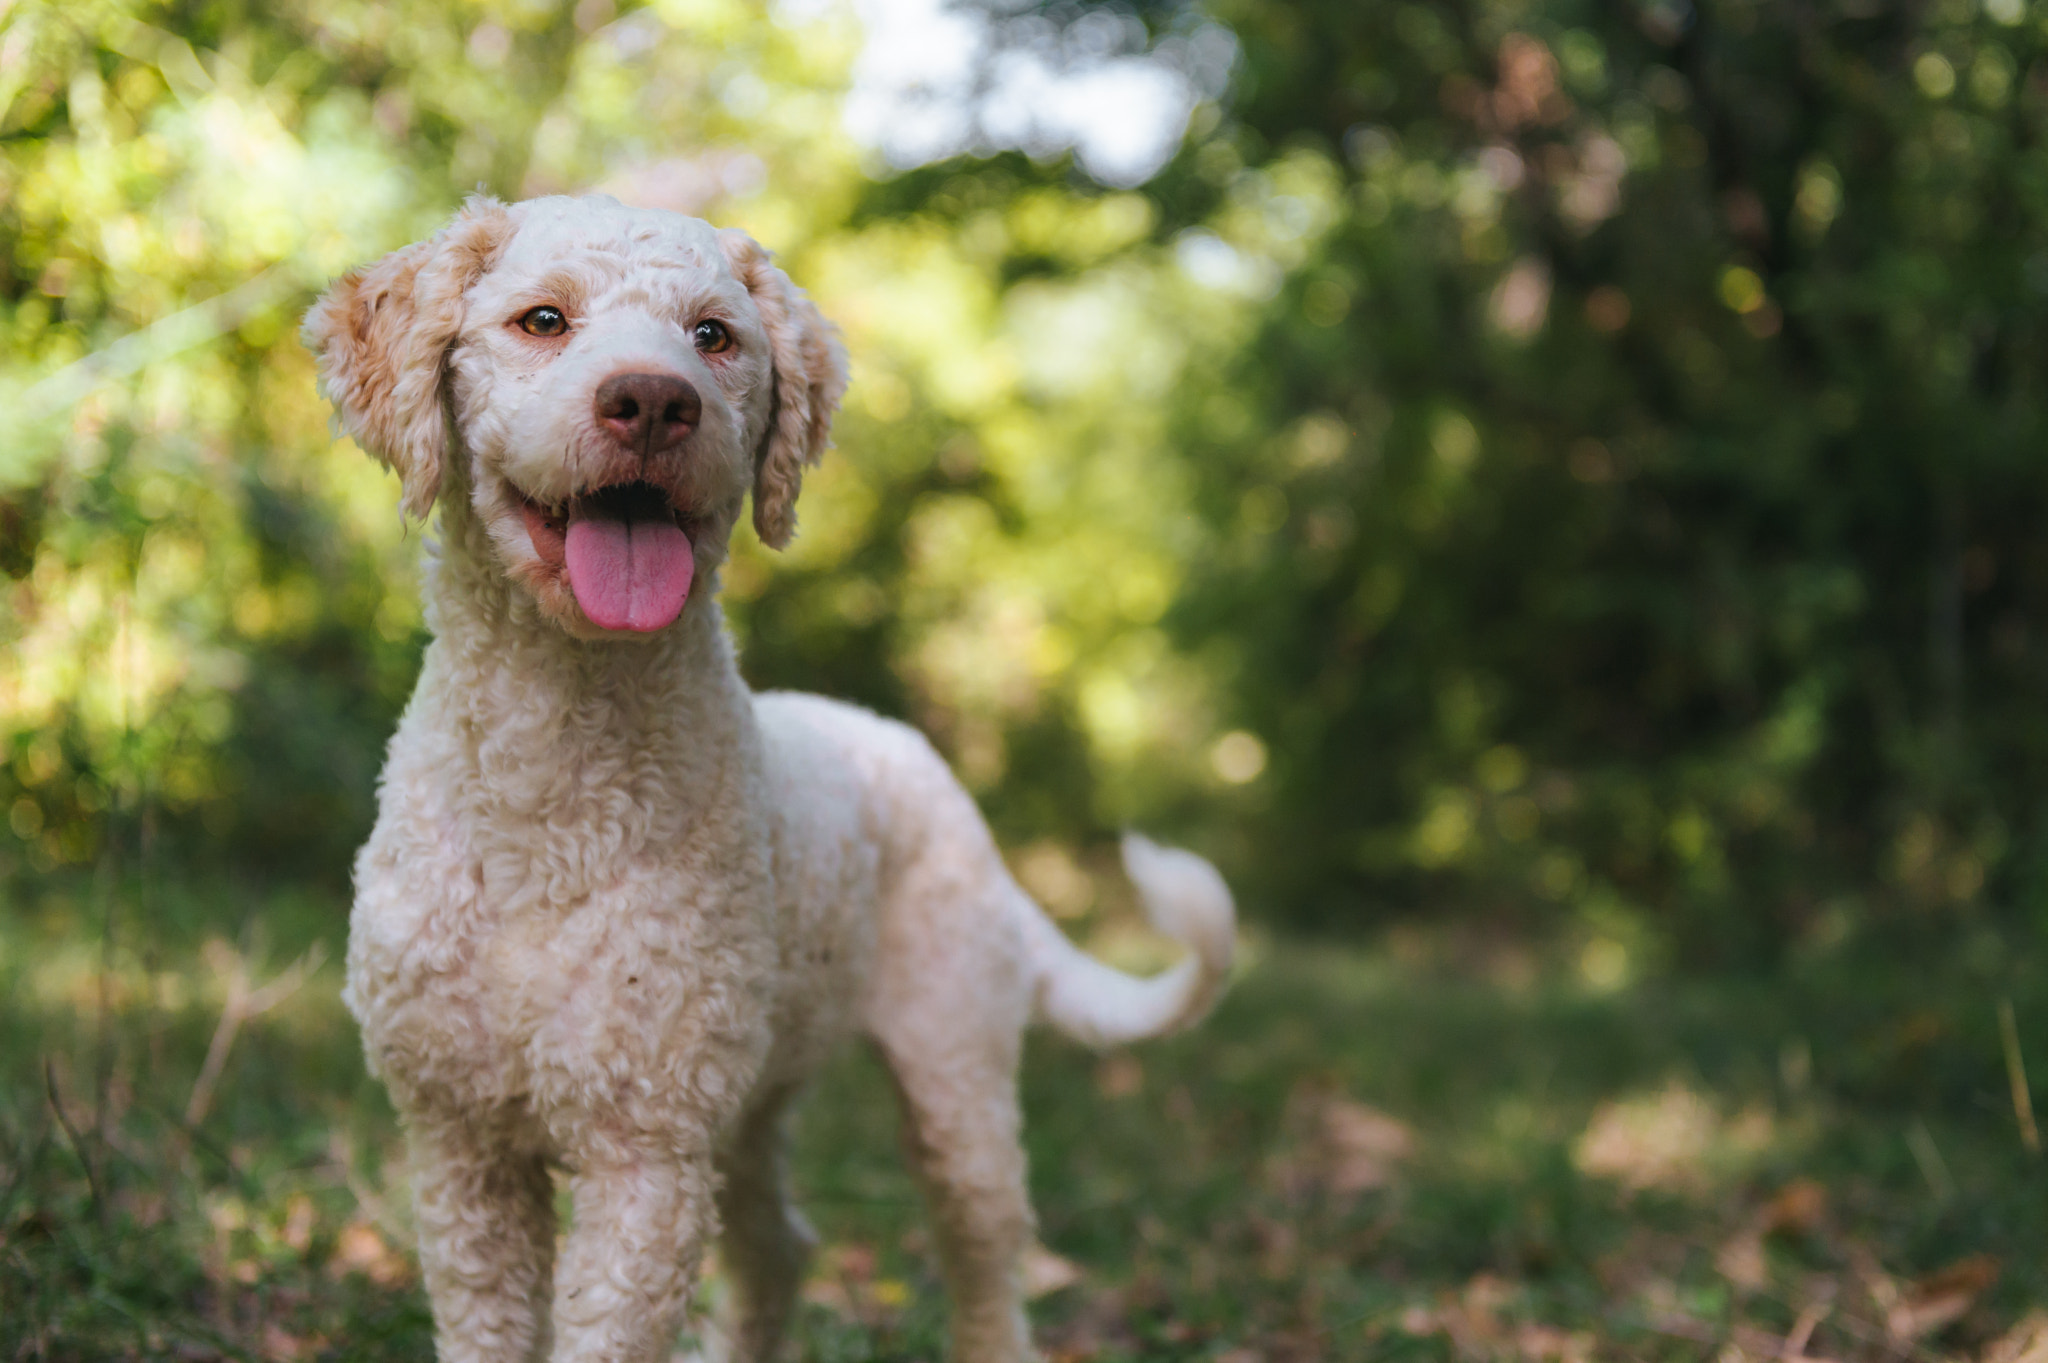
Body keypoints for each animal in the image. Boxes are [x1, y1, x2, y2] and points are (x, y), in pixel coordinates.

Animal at [299, 193, 1228, 1358]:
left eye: (713, 336)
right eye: (542, 319)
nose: (654, 403)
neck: (550, 784)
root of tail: (907, 747)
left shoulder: (644, 1152)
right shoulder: (461, 1145)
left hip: (950, 1081)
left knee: (984, 1276)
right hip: (741, 1104)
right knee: (778, 1245)